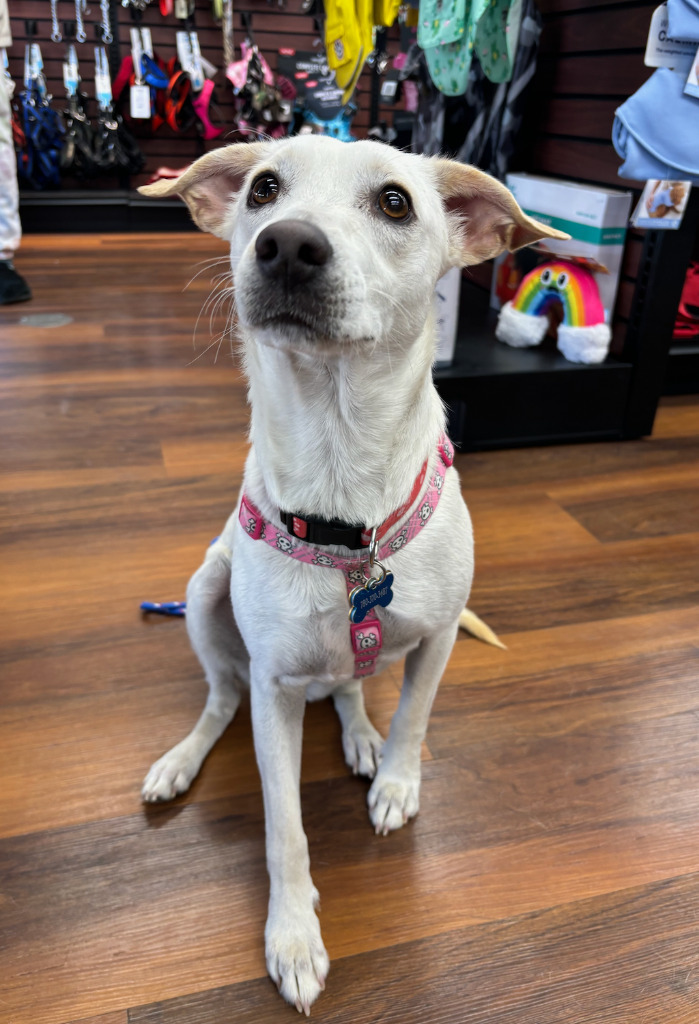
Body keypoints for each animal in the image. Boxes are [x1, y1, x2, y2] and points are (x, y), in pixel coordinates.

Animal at [137, 138, 564, 1015]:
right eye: (263, 189)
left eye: (396, 202)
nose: (287, 245)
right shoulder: (272, 690)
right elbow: (284, 827)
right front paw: (294, 934)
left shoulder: (437, 641)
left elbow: (414, 718)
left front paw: (394, 779)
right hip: (205, 590)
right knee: (220, 697)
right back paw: (181, 760)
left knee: (349, 686)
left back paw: (359, 730)